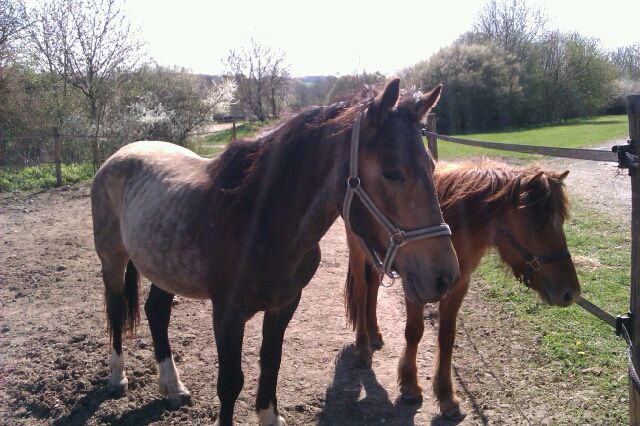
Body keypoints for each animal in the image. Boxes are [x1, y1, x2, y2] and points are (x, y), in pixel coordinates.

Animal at [90, 79, 460, 426]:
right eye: (391, 172)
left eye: (431, 166)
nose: (445, 277)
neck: (259, 219)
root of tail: (120, 155)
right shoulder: (227, 312)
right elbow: (230, 382)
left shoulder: (285, 304)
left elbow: (271, 362)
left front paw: (269, 415)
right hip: (112, 259)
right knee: (116, 308)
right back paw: (118, 377)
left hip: (164, 268)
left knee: (156, 312)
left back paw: (172, 387)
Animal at [344, 160, 581, 419]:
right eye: (533, 225)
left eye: (561, 221)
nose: (570, 293)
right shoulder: (415, 285)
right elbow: (414, 332)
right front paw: (410, 385)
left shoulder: (458, 287)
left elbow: (447, 336)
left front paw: (446, 395)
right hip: (357, 250)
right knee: (362, 291)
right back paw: (363, 348)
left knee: (373, 287)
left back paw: (374, 333)